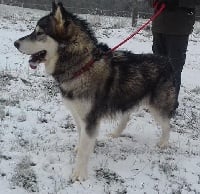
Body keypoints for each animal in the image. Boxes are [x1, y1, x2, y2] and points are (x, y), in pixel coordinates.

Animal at [14, 1, 177, 181]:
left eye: (39, 33)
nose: (15, 43)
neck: (82, 66)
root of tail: (166, 61)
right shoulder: (78, 115)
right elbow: (82, 138)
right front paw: (81, 149)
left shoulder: (90, 119)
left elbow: (85, 148)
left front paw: (79, 174)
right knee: (127, 116)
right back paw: (115, 134)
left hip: (157, 107)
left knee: (167, 124)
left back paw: (163, 143)